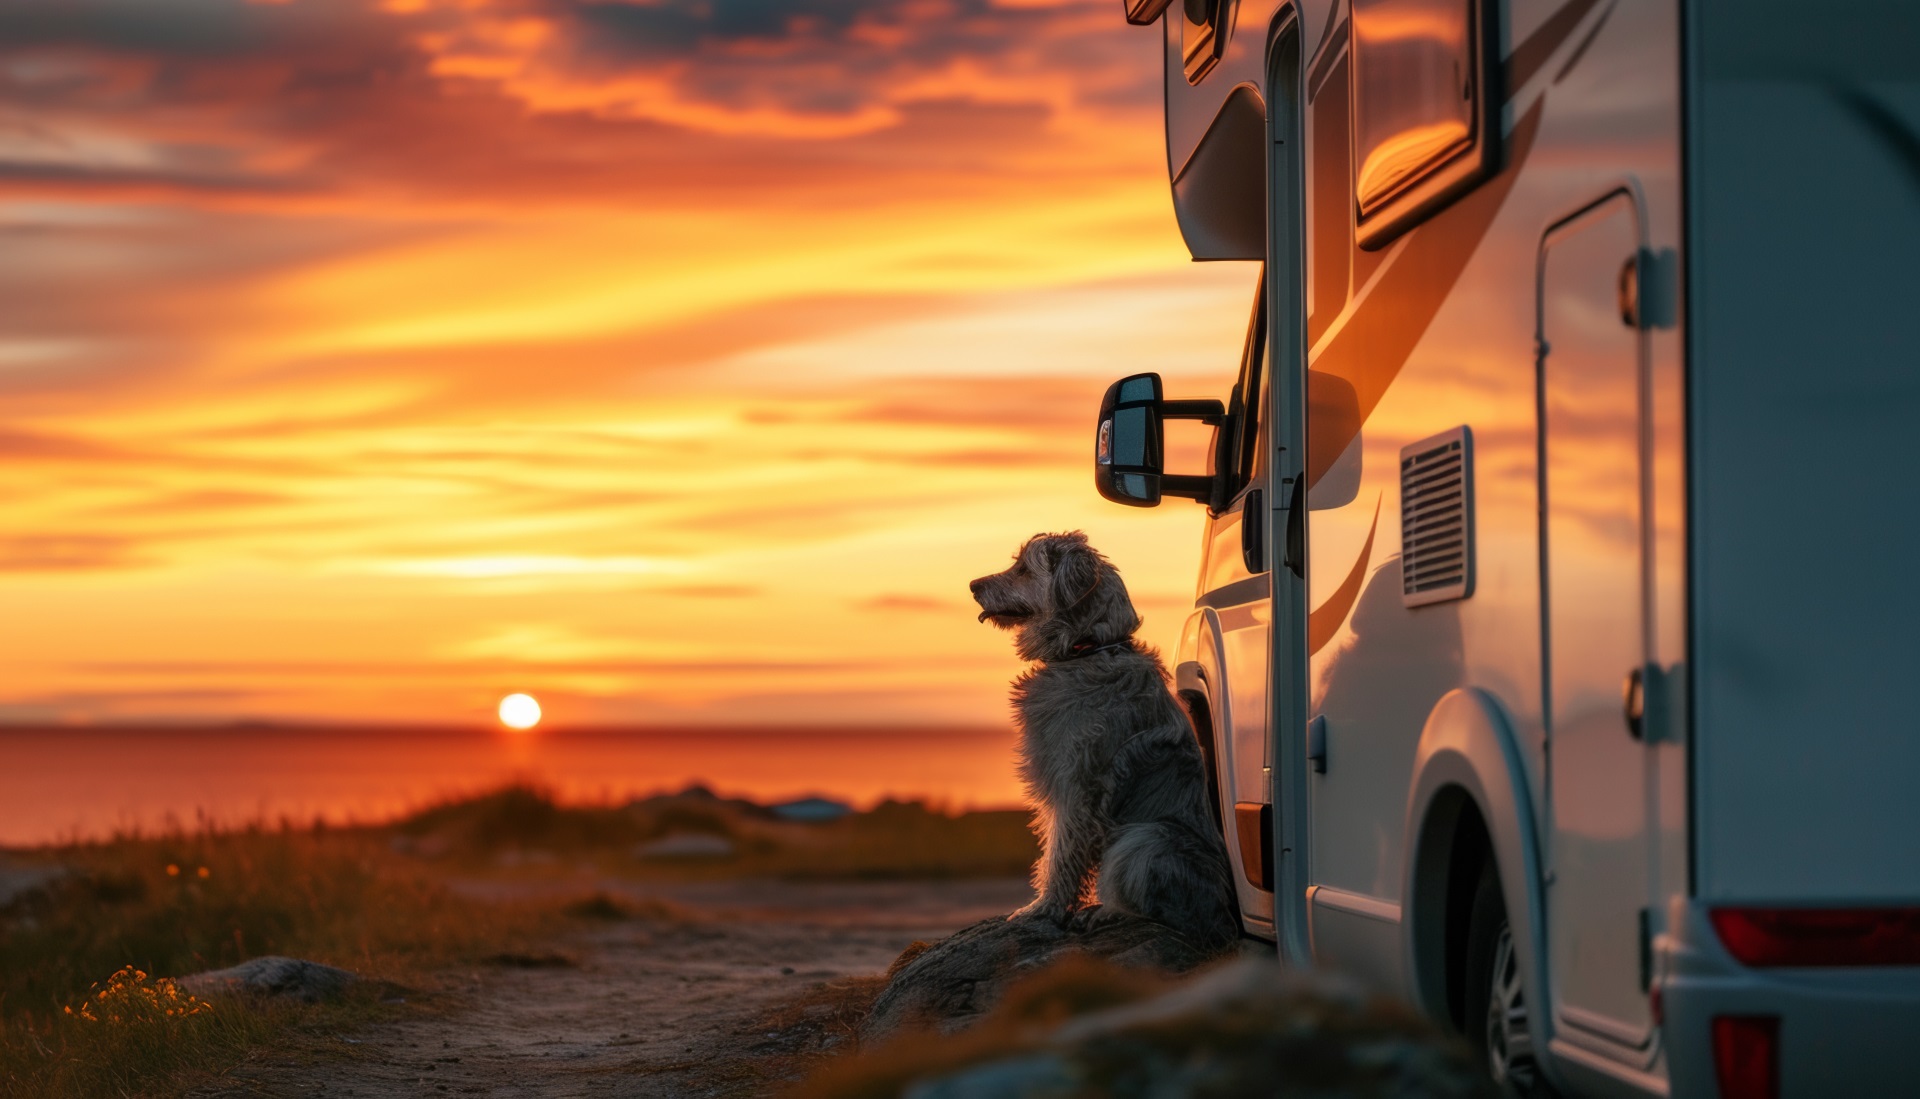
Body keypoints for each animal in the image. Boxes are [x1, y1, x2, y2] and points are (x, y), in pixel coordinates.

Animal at [967, 526, 1236, 949]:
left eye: (1024, 568)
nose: (973, 585)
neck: (1087, 648)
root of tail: (1224, 916)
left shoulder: (1078, 785)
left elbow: (1061, 854)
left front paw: (1043, 908)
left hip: (1146, 838)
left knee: (1165, 914)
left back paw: (1107, 912)